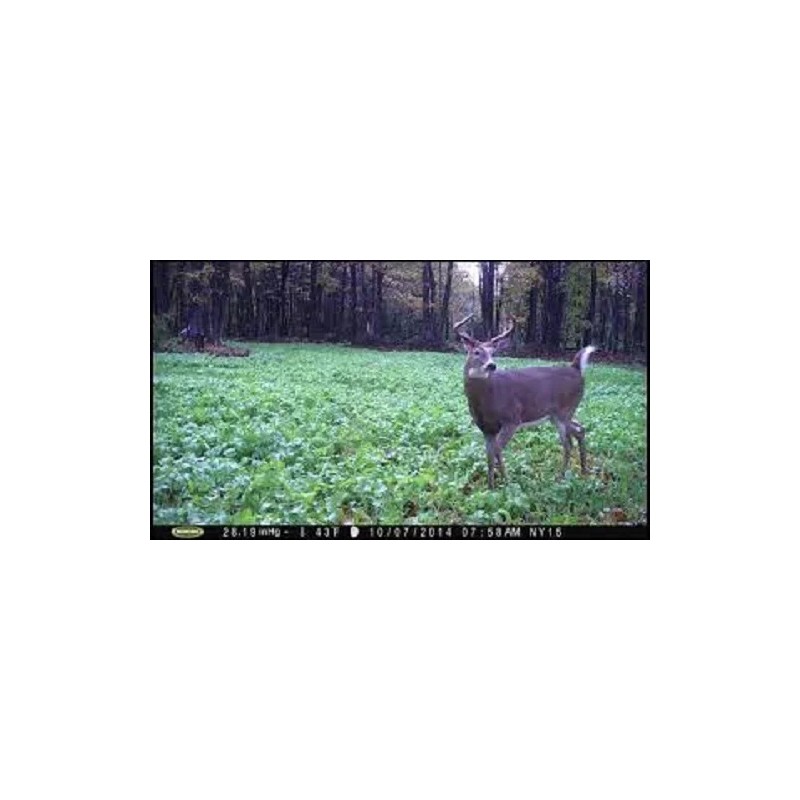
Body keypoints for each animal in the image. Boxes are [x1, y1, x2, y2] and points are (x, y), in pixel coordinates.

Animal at [453, 313, 596, 488]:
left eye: (493, 352)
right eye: (476, 352)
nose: (491, 365)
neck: (487, 401)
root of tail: (577, 369)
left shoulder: (512, 419)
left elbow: (497, 450)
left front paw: (505, 482)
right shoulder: (486, 428)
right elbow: (489, 454)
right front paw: (490, 486)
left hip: (565, 410)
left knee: (569, 441)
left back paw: (561, 477)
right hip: (556, 415)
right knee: (579, 430)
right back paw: (582, 471)